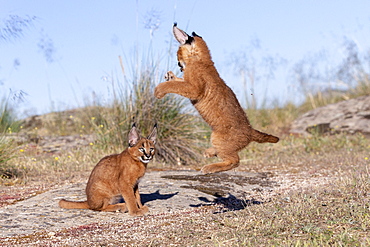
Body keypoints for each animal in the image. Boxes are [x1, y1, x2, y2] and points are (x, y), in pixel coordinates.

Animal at [155, 23, 278, 174]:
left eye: (177, 53)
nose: (179, 65)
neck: (201, 59)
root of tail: (250, 130)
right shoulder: (188, 83)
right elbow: (177, 82)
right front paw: (170, 76)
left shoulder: (194, 88)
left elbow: (174, 86)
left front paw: (159, 90)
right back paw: (210, 152)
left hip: (217, 137)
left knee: (235, 160)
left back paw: (210, 167)